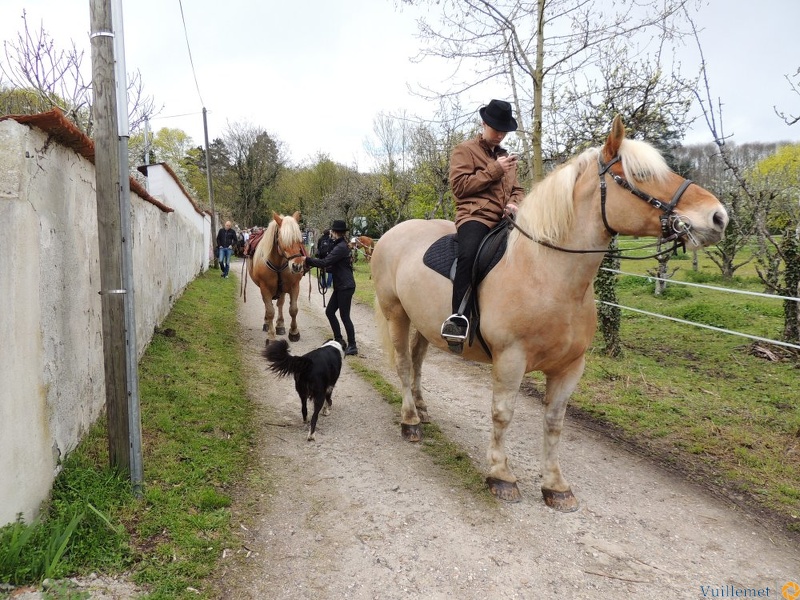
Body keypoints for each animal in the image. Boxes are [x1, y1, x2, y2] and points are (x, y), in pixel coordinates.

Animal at [245, 211, 304, 342]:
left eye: (300, 239)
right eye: (283, 239)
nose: (297, 266)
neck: (278, 262)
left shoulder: (294, 286)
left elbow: (293, 309)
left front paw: (294, 332)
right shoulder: (265, 288)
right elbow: (270, 311)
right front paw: (271, 336)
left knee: (280, 304)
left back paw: (280, 325)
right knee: (269, 306)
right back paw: (267, 323)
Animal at [372, 117, 728, 510]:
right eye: (643, 174)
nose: (718, 217)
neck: (547, 272)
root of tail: (391, 234)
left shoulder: (571, 366)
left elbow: (555, 422)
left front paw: (555, 485)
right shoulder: (510, 359)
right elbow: (502, 414)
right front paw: (501, 476)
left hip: (423, 322)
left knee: (418, 362)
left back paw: (421, 410)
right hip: (396, 315)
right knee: (404, 365)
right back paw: (410, 422)